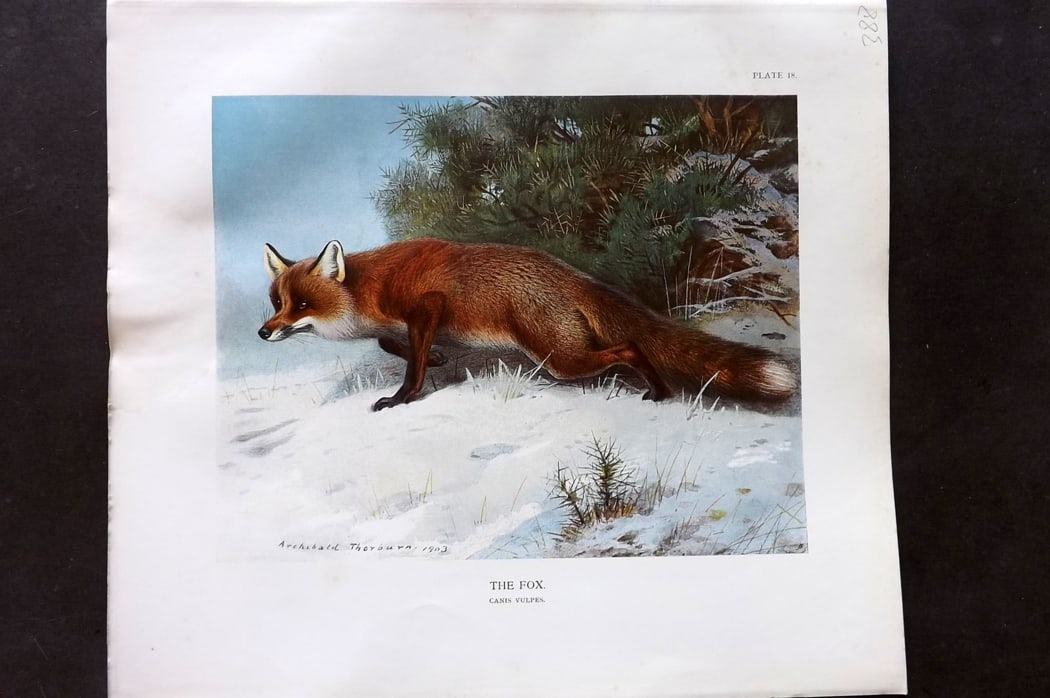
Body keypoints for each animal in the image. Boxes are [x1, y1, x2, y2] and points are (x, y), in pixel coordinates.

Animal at [259, 238, 797, 411]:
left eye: (301, 304)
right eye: (275, 301)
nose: (263, 332)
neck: (371, 289)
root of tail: (571, 275)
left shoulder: (426, 304)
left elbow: (411, 366)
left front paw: (402, 397)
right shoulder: (406, 324)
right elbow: (401, 348)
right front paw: (437, 356)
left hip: (560, 357)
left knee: (627, 347)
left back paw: (658, 390)